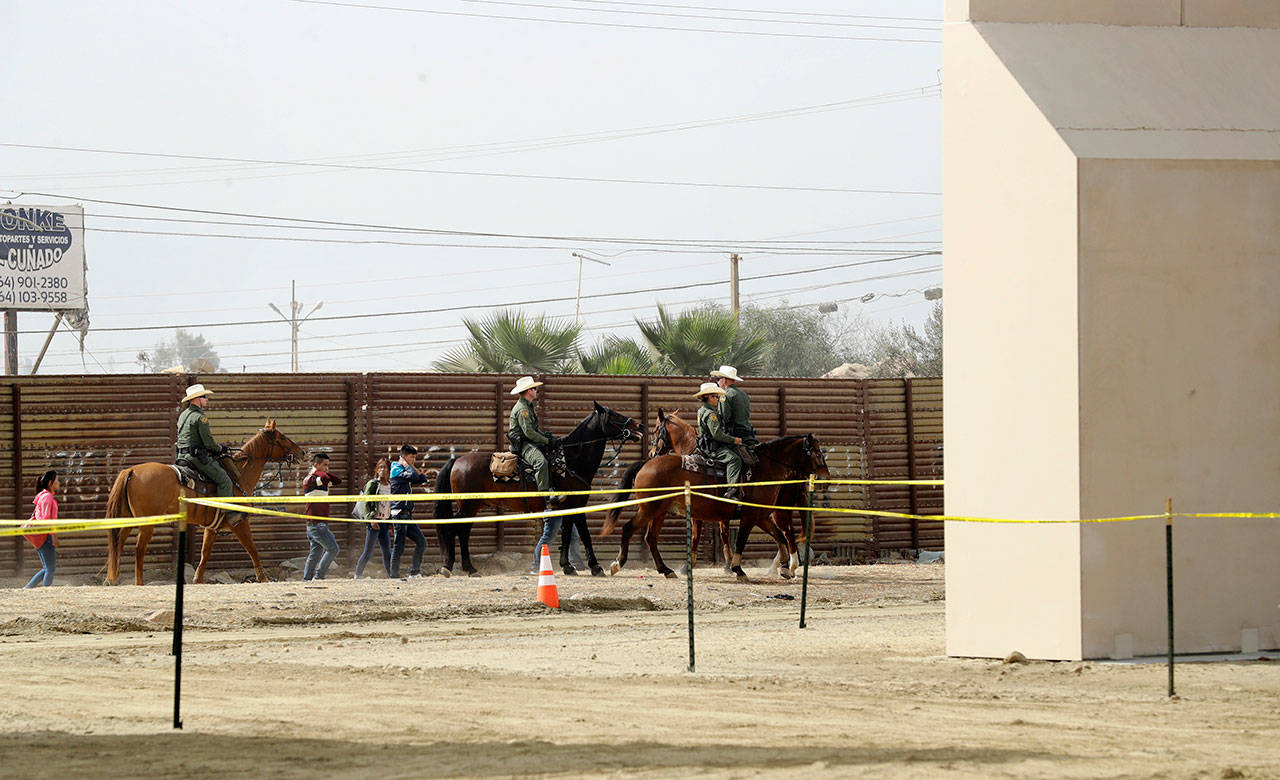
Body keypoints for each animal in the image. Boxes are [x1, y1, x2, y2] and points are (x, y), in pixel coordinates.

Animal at [104, 420, 304, 584]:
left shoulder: (212, 527)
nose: (301, 452)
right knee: (138, 549)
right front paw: (263, 578)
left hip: (127, 519)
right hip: (146, 523)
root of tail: (131, 470)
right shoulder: (239, 522)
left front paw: (197, 579)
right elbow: (252, 548)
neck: (238, 475)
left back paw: (111, 580)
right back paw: (139, 582)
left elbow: (205, 553)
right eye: (282, 437)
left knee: (117, 544)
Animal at [435, 402, 645, 578]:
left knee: (462, 530)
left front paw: (568, 566)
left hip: (472, 506)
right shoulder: (576, 505)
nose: (639, 426)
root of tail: (457, 460)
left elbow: (568, 534)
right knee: (456, 528)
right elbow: (584, 534)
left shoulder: (569, 508)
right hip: (468, 505)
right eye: (614, 414)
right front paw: (595, 567)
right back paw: (454, 566)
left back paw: (465, 567)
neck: (571, 460)